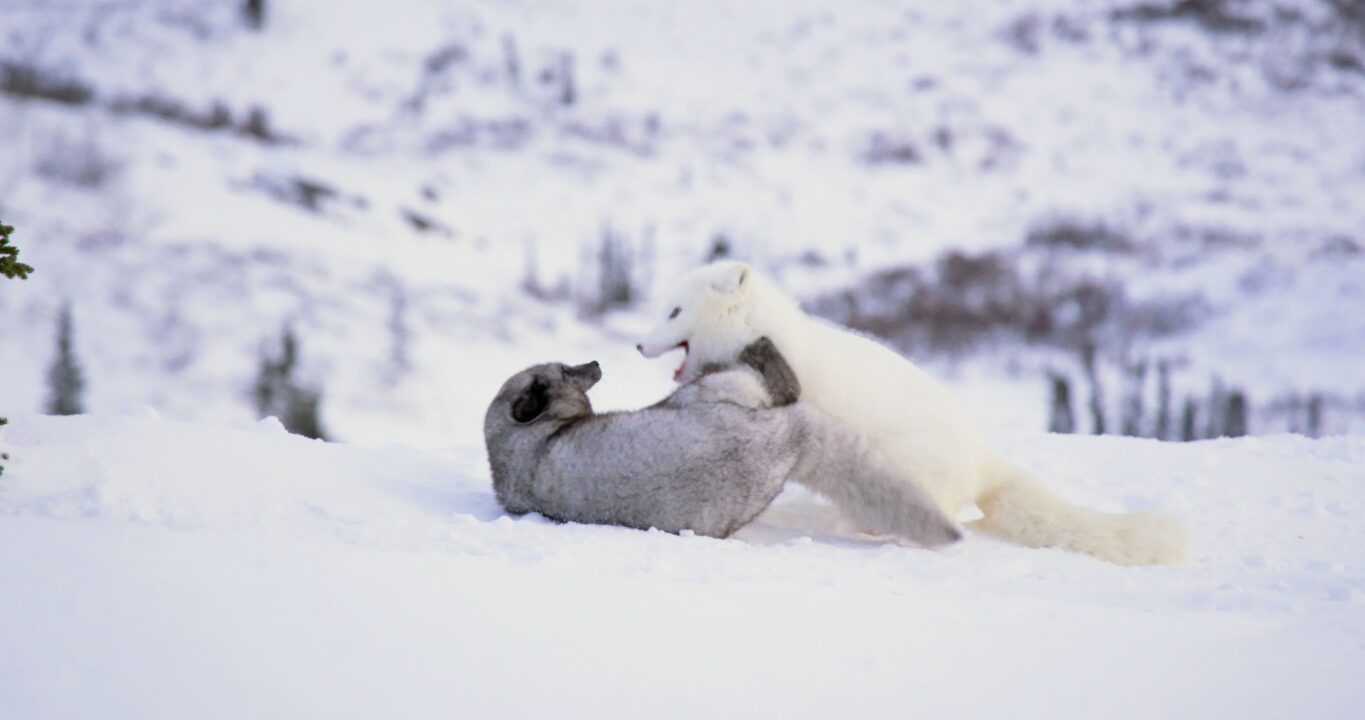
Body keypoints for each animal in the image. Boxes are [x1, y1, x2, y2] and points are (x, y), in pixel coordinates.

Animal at [485, 338, 966, 546]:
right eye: (566, 371)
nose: (596, 363)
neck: (523, 450)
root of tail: (787, 439)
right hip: (713, 392)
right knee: (785, 382)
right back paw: (758, 343)